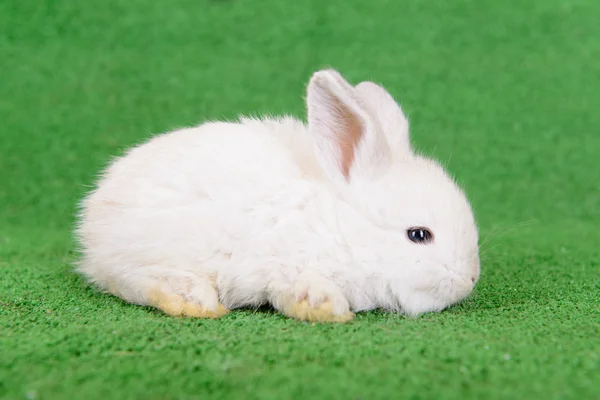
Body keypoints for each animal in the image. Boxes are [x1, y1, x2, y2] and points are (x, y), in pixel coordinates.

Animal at [75, 69, 480, 324]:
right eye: (419, 235)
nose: (471, 279)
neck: (340, 229)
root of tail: (92, 217)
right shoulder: (285, 266)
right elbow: (300, 287)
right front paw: (328, 308)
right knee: (127, 279)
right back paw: (193, 299)